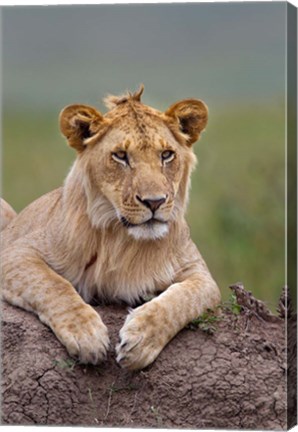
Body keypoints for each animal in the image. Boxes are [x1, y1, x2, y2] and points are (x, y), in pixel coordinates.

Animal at [1, 86, 220, 370]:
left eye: (166, 155)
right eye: (120, 156)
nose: (154, 202)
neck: (123, 241)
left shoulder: (201, 275)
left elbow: (182, 299)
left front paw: (140, 340)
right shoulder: (16, 254)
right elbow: (53, 284)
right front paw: (86, 334)